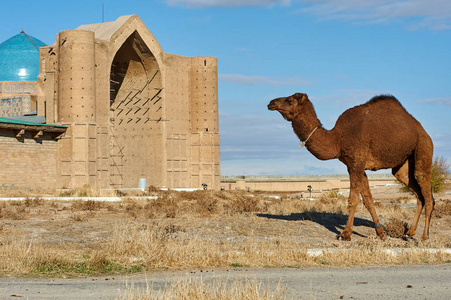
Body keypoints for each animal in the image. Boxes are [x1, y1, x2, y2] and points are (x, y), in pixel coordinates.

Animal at [268, 92, 434, 240]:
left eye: (289, 100)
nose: (271, 102)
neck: (338, 138)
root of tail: (423, 131)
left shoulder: (357, 162)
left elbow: (353, 199)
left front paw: (345, 234)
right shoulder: (353, 165)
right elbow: (368, 199)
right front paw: (381, 233)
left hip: (423, 147)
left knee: (426, 191)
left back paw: (424, 237)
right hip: (402, 166)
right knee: (417, 192)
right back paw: (410, 232)